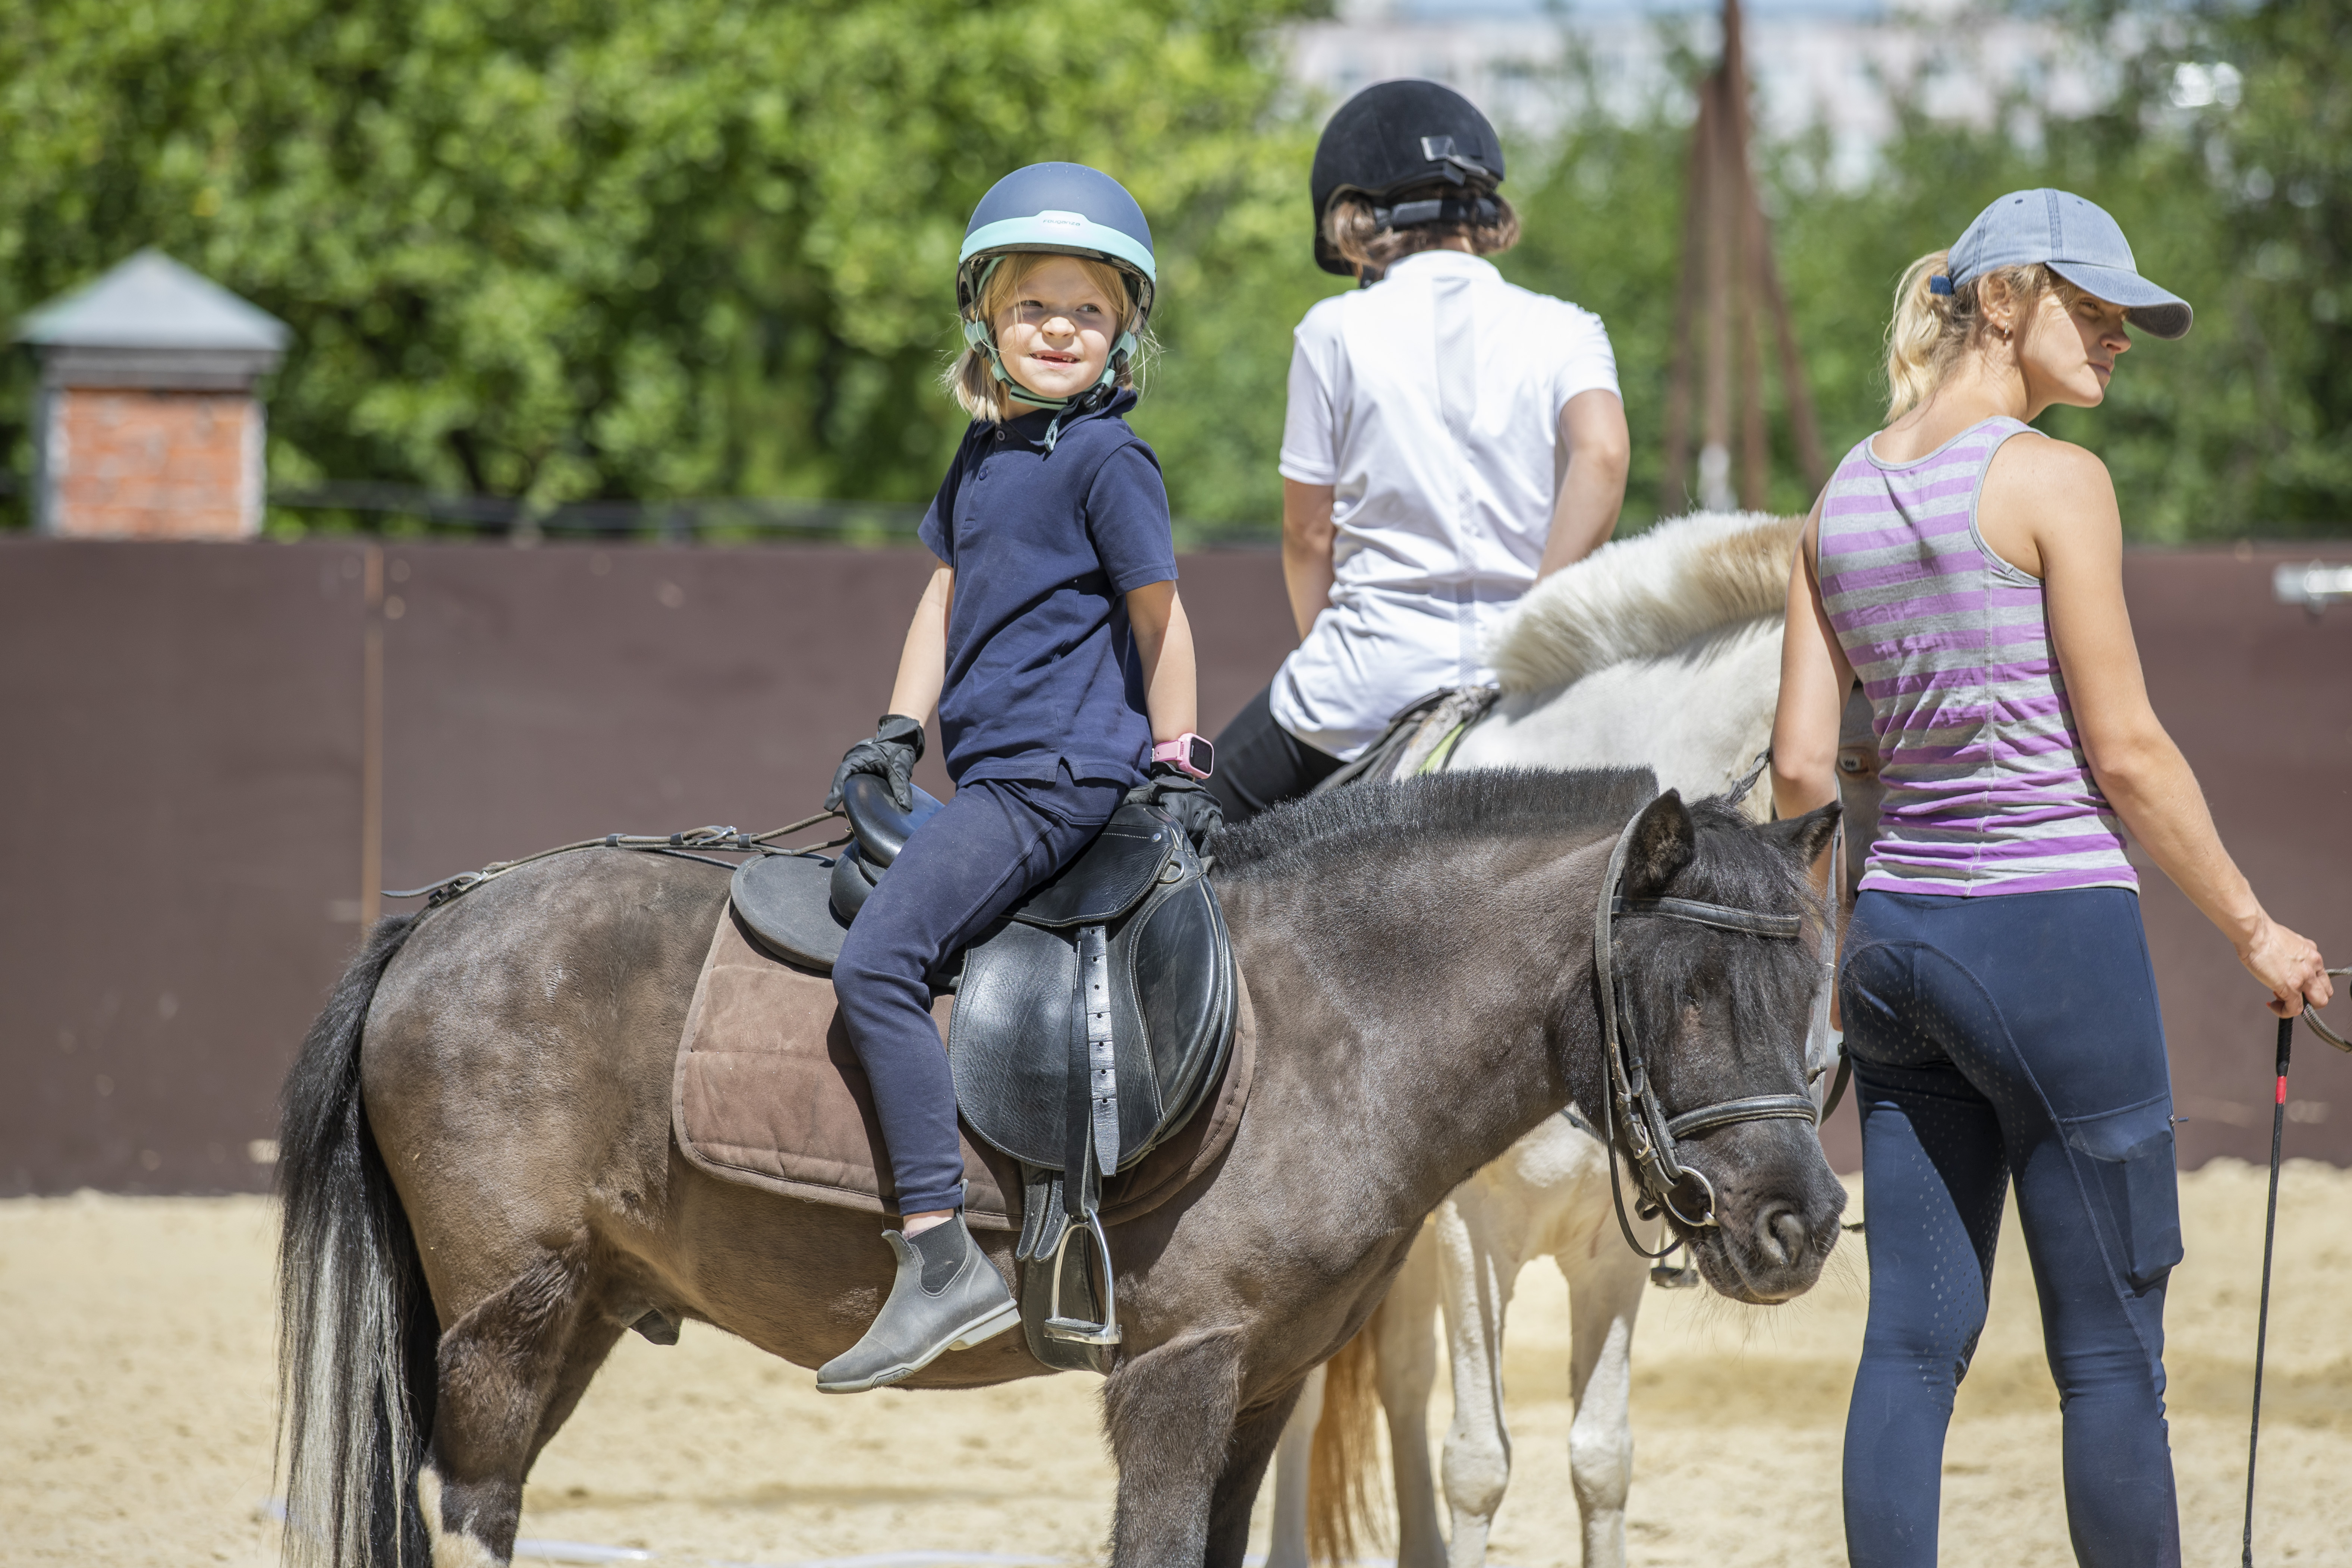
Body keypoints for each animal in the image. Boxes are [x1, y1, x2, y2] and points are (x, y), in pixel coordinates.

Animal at [275, 771, 1844, 1568]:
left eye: (1813, 983)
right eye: (1691, 990)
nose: (1803, 1222)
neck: (1332, 1012)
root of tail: (442, 919)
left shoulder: (1258, 1383)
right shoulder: (1174, 1376)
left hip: (573, 1308)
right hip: (510, 1313)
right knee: (472, 1517)